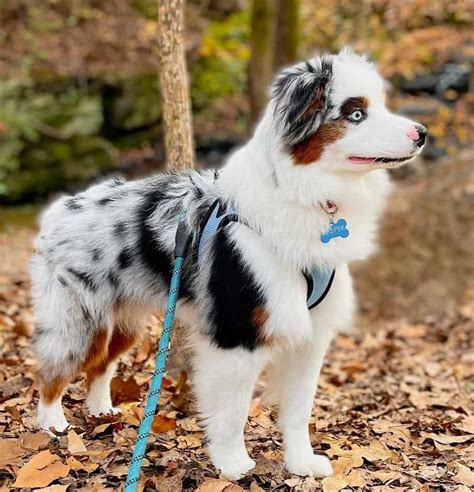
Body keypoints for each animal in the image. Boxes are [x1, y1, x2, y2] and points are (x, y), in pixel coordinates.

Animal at [31, 50, 428, 480]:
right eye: (356, 114)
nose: (422, 132)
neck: (305, 192)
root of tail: (61, 208)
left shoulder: (310, 336)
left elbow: (299, 410)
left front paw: (302, 463)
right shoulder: (236, 333)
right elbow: (232, 410)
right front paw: (232, 463)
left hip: (124, 322)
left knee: (99, 367)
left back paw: (101, 411)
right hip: (78, 319)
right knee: (54, 371)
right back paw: (53, 425)